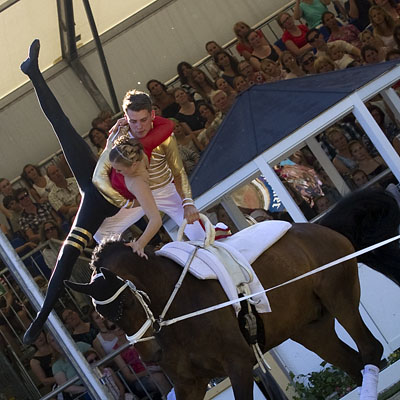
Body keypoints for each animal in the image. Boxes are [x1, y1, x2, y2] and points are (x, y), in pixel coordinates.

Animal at [66, 223, 384, 398]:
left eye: (129, 303)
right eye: (105, 318)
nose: (151, 355)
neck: (175, 310)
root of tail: (318, 227)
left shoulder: (239, 365)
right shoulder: (189, 384)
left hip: (339, 297)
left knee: (370, 350)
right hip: (310, 329)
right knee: (350, 361)